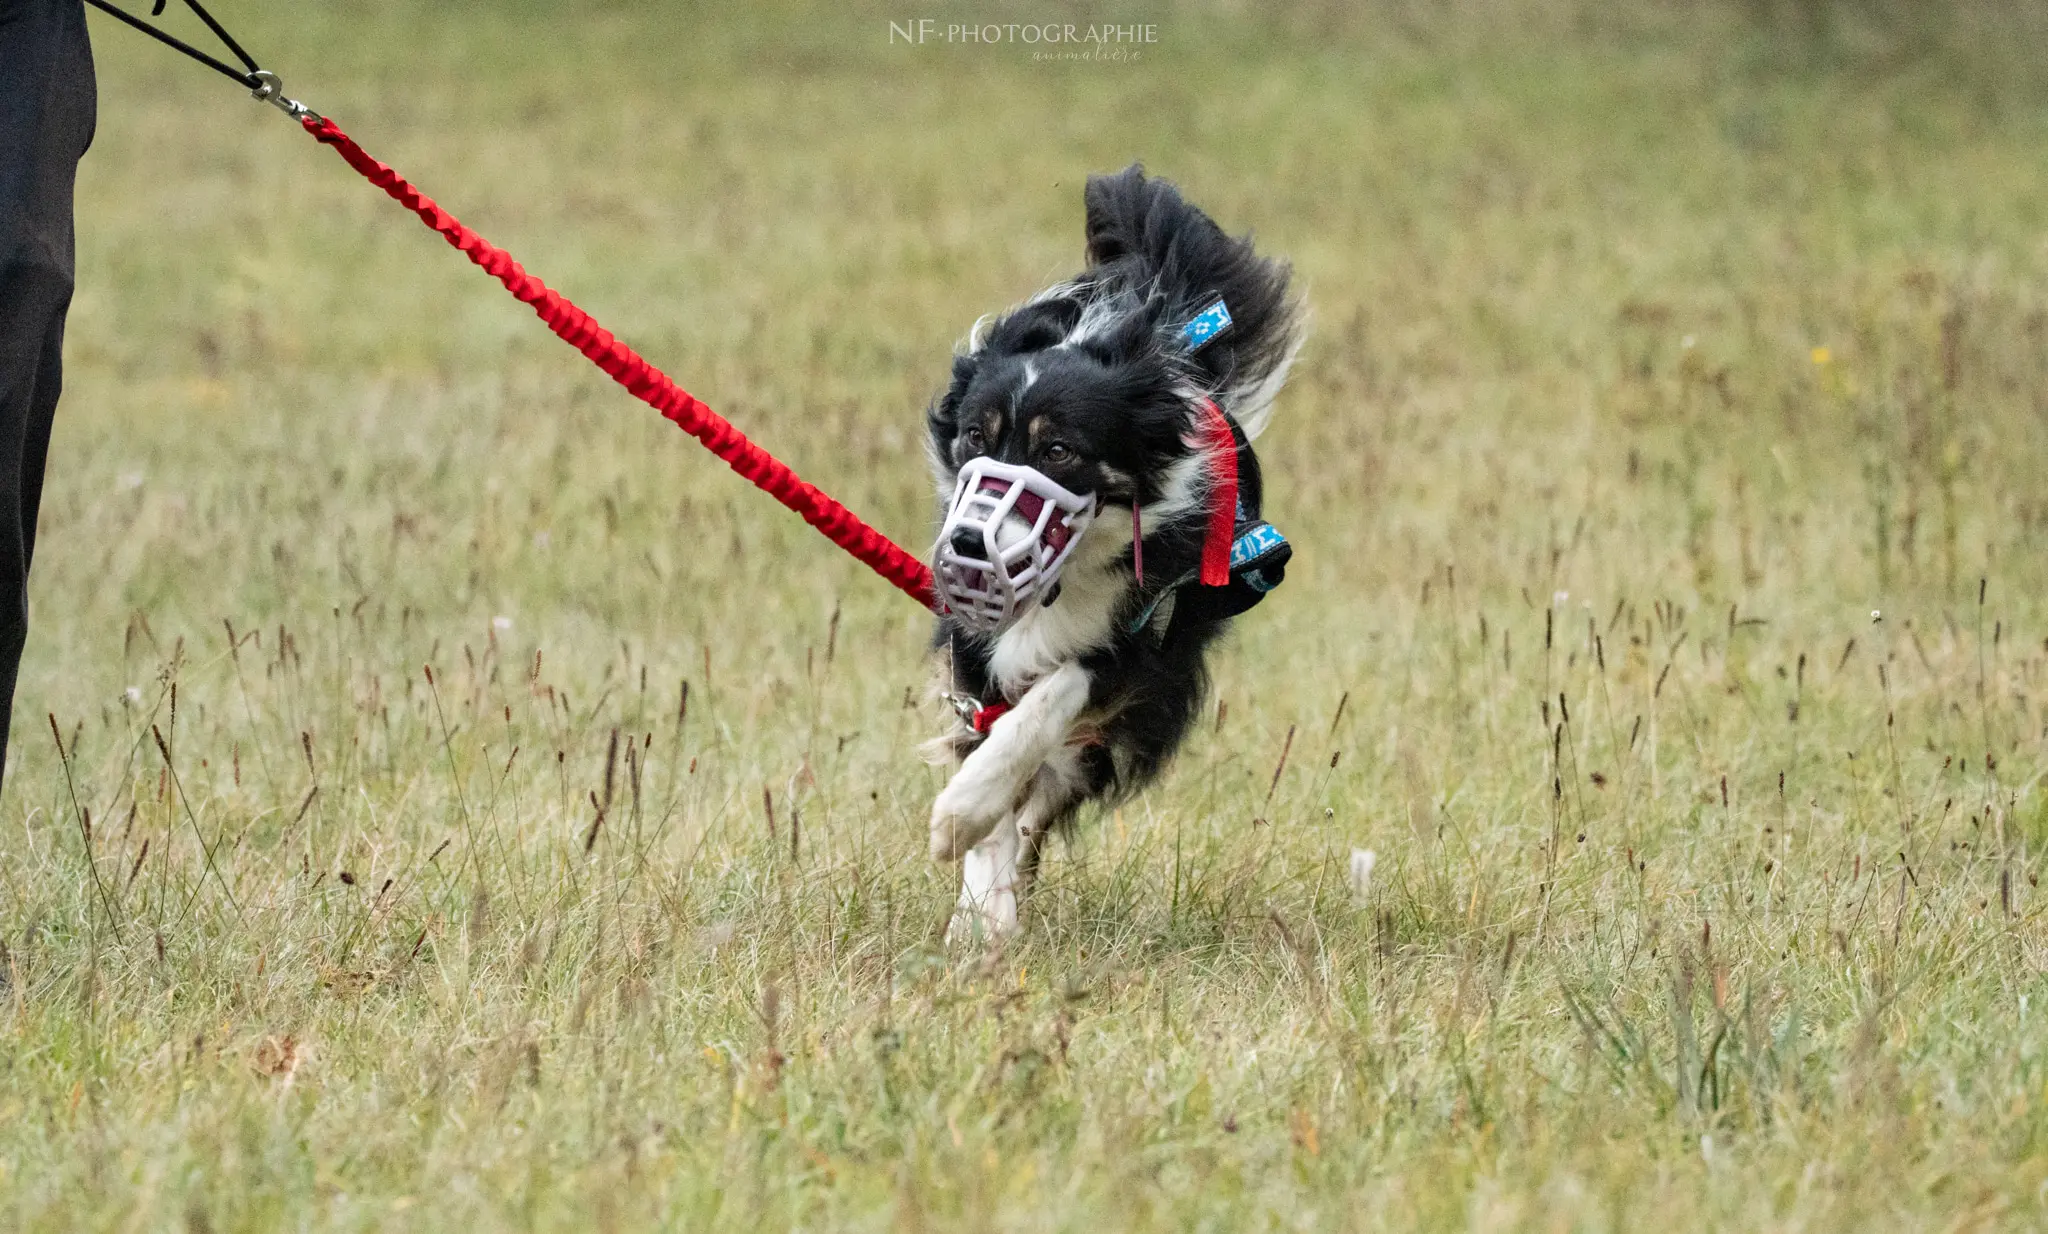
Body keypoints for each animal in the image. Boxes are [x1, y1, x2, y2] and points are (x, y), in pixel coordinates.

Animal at [925, 163, 1294, 937]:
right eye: (975, 436)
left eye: (1059, 450)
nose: (971, 542)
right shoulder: (971, 636)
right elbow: (988, 730)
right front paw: (976, 896)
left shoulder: (1146, 640)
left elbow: (1051, 698)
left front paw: (960, 817)